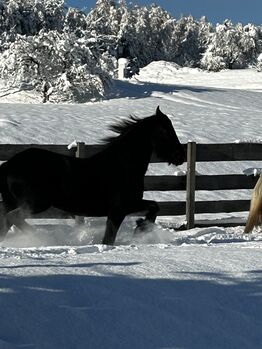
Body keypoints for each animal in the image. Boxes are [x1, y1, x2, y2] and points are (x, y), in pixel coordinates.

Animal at [0, 106, 185, 245]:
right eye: (166, 131)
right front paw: (140, 229)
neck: (123, 164)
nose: (180, 156)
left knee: (6, 223)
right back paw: (42, 238)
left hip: (15, 202)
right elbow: (109, 239)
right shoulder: (120, 208)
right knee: (14, 217)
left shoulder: (126, 206)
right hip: (36, 203)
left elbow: (154, 206)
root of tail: (9, 164)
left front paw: (140, 227)